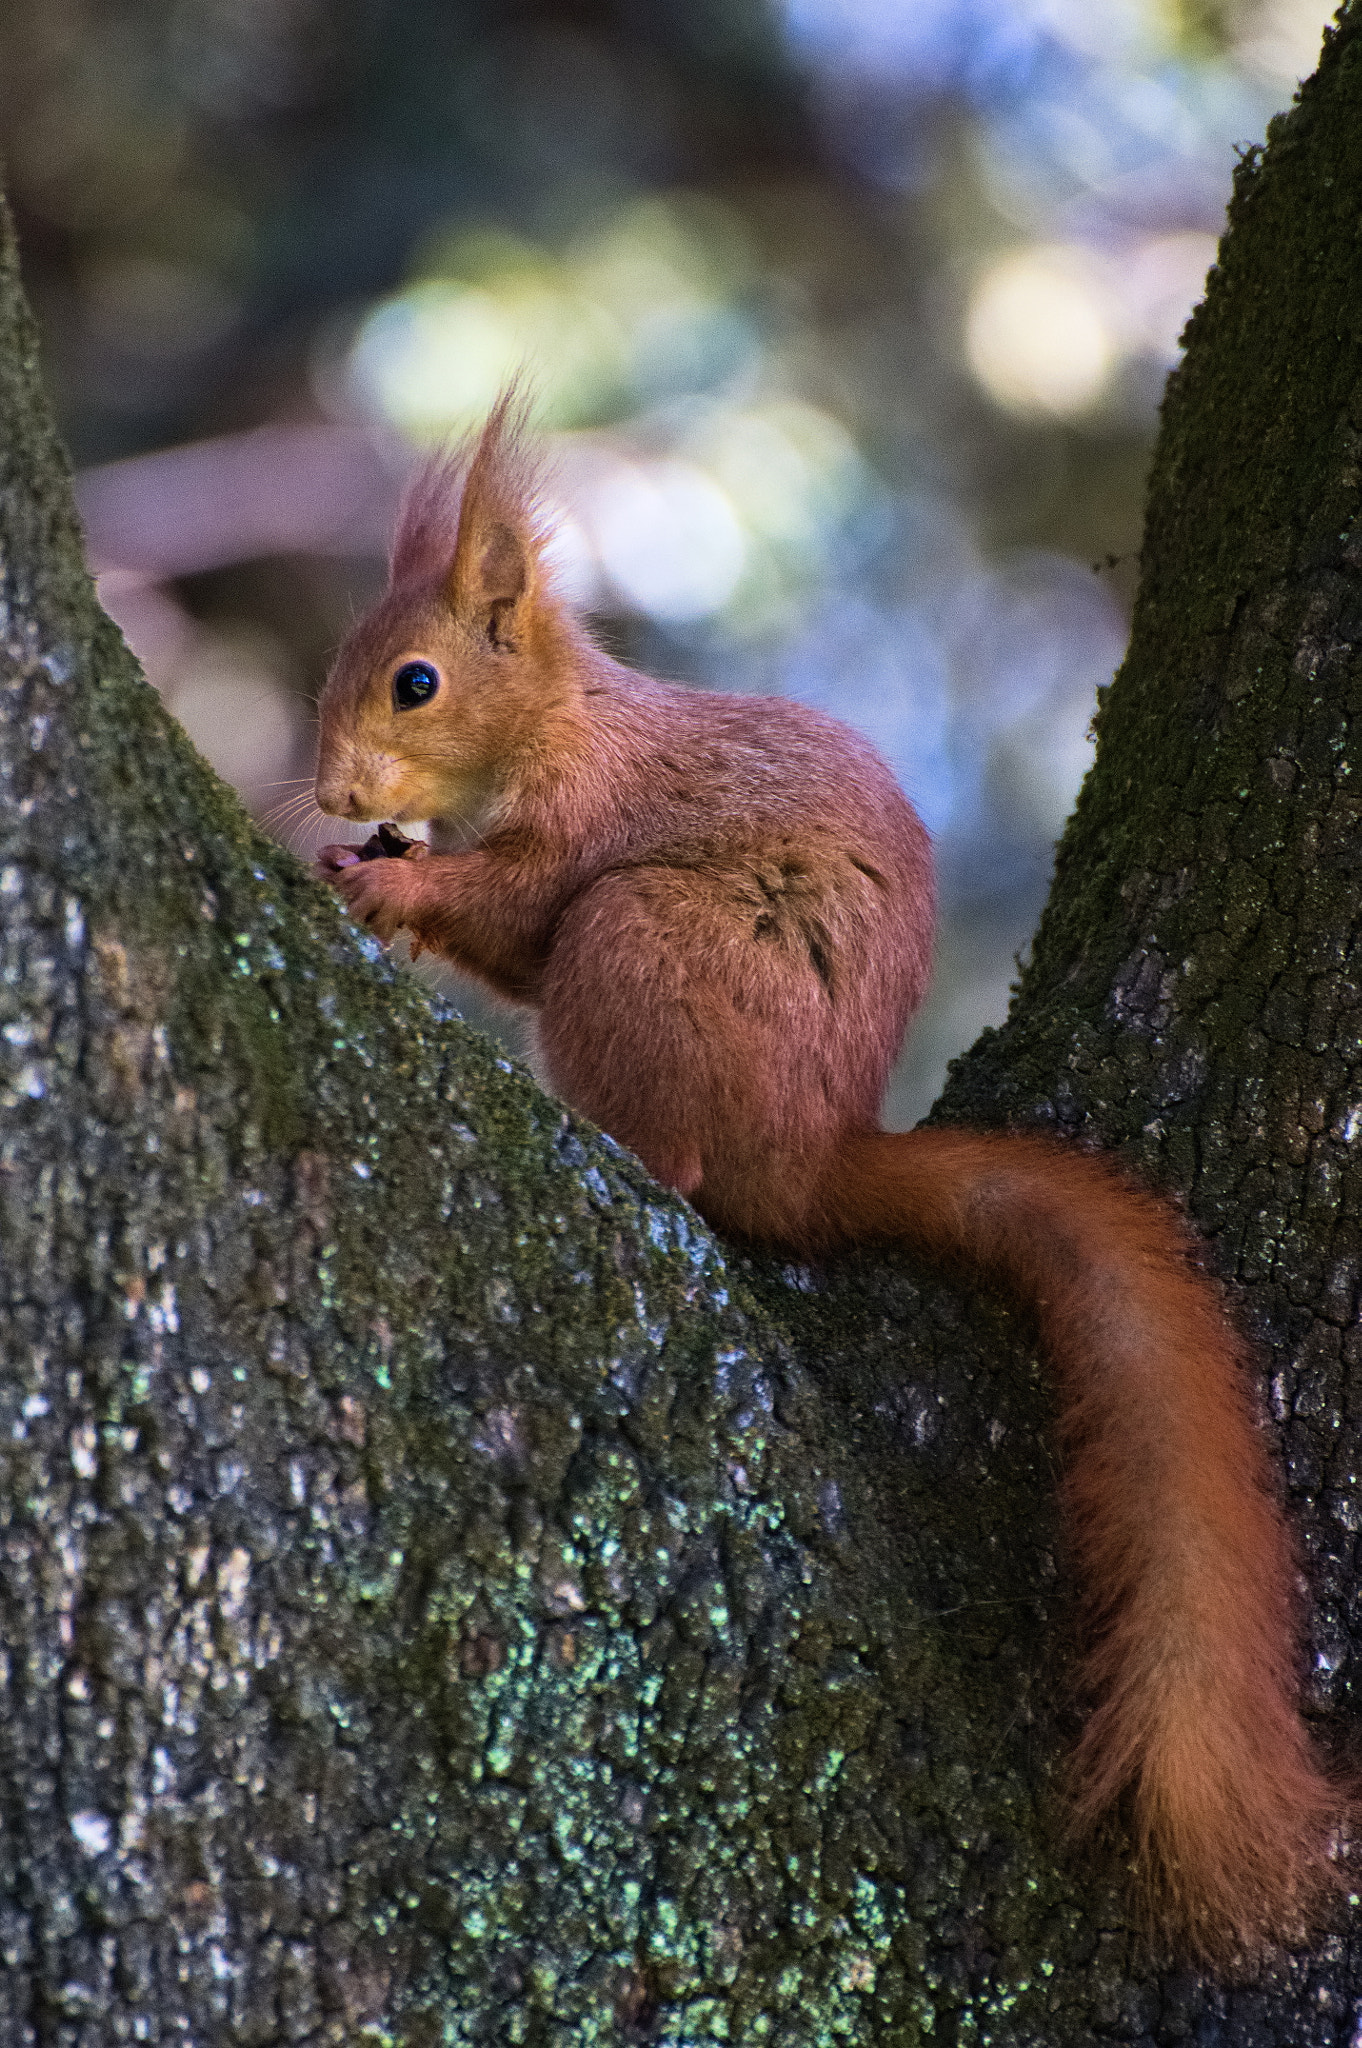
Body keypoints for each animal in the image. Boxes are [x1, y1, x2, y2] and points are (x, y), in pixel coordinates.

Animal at [314, 390, 1344, 1961]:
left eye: (414, 683)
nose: (327, 789)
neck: (561, 716)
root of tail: (811, 1158)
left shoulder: (581, 822)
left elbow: (518, 899)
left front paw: (396, 880)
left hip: (646, 943)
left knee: (678, 1150)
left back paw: (639, 1152)